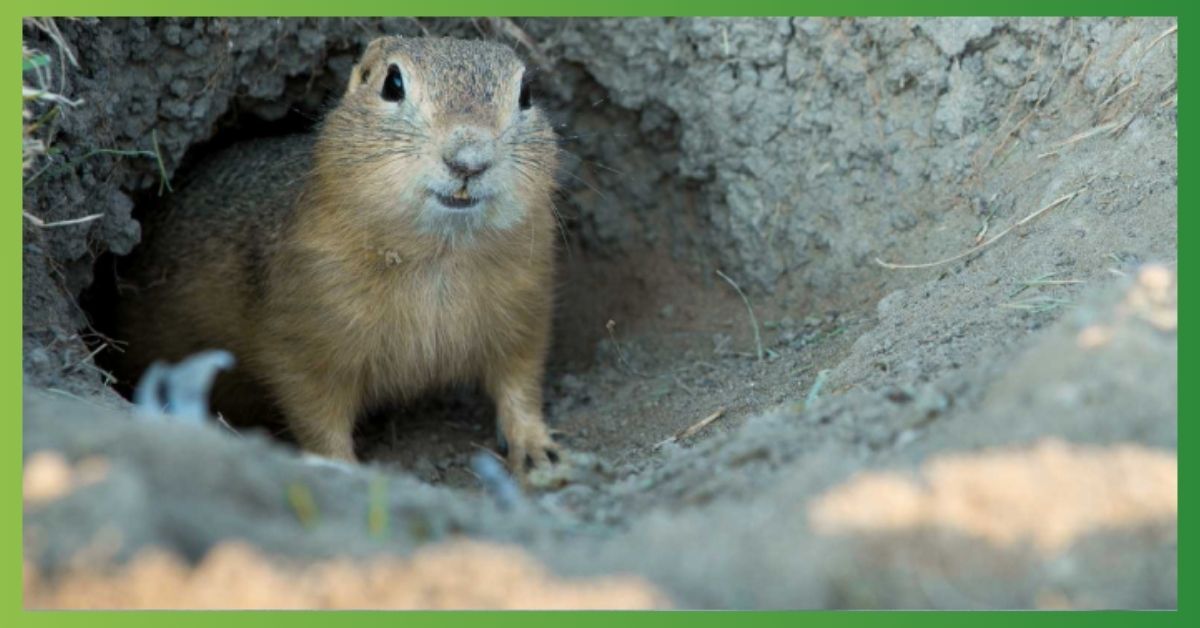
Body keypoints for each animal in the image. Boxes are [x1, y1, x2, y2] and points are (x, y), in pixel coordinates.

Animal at [112, 36, 561, 470]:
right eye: (392, 84)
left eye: (526, 93)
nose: (469, 160)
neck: (440, 255)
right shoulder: (305, 334)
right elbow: (316, 414)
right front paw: (343, 468)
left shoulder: (525, 308)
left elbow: (520, 380)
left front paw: (539, 450)